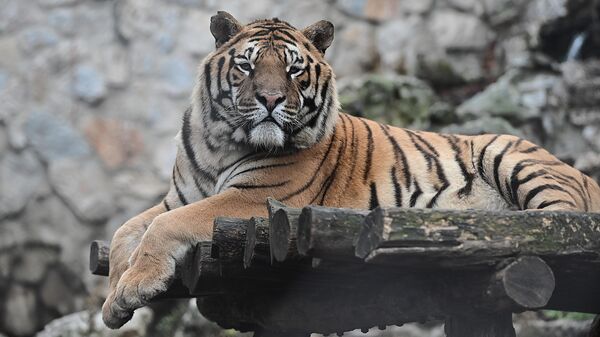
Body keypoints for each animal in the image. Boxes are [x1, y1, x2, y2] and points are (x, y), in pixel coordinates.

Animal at [103, 11, 600, 328]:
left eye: (293, 70)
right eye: (247, 65)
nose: (270, 99)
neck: (220, 143)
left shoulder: (253, 197)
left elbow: (165, 227)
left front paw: (134, 287)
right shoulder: (179, 196)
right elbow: (126, 230)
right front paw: (113, 302)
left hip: (510, 154)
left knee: (561, 222)